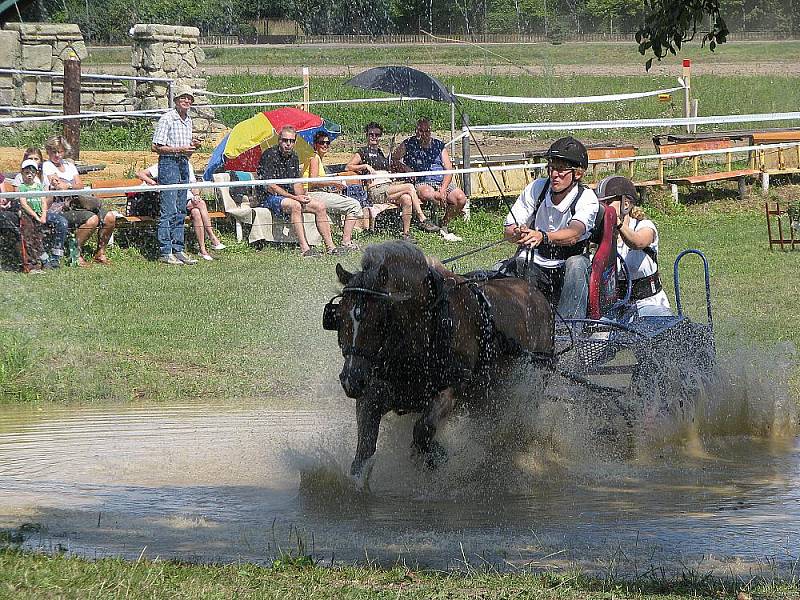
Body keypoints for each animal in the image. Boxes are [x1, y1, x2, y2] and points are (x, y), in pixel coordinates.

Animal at [322, 240, 552, 482]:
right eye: (337, 317)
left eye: (379, 321)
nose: (351, 380)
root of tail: (533, 291)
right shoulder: (373, 394)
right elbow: (363, 453)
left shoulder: (453, 387)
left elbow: (422, 430)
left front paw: (434, 455)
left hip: (531, 382)